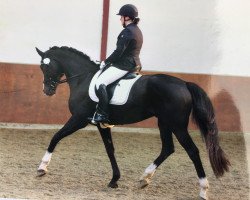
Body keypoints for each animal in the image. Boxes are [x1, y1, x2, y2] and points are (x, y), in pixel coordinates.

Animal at [35, 46, 230, 198]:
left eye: (45, 66)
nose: (47, 90)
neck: (84, 78)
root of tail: (184, 83)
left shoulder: (79, 119)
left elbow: (56, 136)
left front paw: (42, 168)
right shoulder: (102, 124)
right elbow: (110, 150)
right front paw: (114, 180)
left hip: (177, 125)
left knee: (192, 151)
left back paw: (203, 190)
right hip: (164, 122)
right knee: (168, 148)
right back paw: (145, 178)